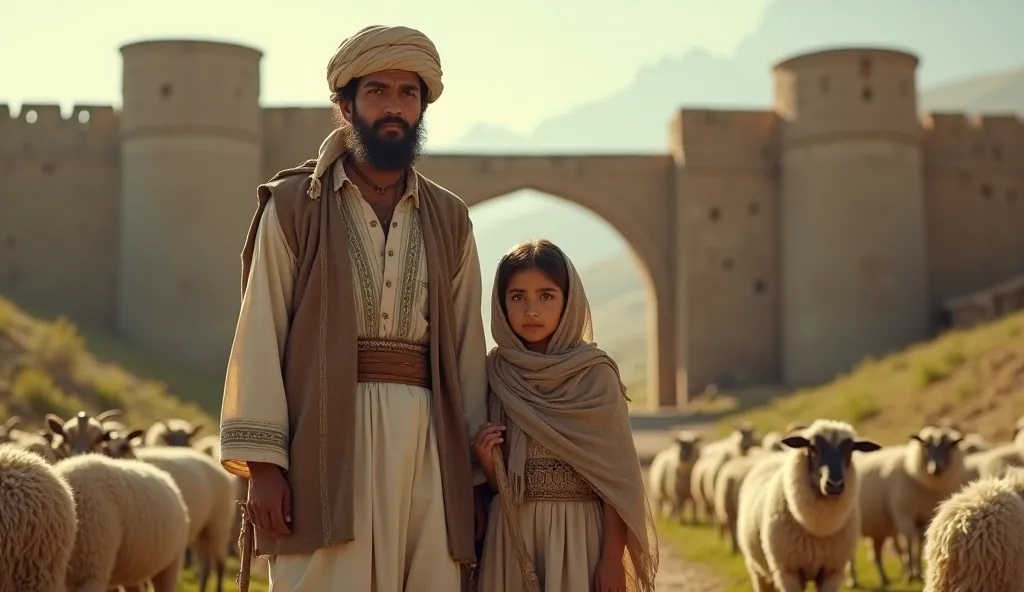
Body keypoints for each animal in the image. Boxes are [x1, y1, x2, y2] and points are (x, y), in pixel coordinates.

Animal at [737, 419, 880, 589]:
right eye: (813, 448)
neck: (818, 529)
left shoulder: (832, 571)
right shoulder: (788, 571)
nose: (835, 484)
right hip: (758, 570)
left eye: (850, 451)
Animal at [847, 421, 966, 581]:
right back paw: (853, 580)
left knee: (876, 553)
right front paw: (911, 574)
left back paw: (884, 579)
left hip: (878, 528)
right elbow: (909, 541)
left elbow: (920, 542)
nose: (936, 469)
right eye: (926, 446)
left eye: (950, 446)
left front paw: (918, 573)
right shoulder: (903, 513)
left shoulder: (926, 517)